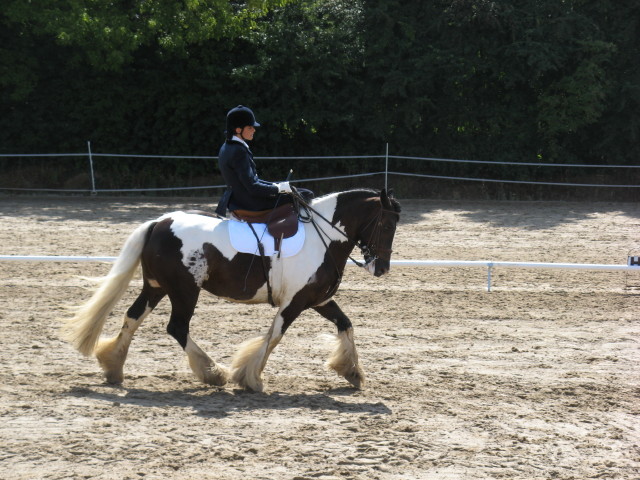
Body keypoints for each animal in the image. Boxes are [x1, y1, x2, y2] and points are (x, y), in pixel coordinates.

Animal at [63, 189, 400, 392]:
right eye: (387, 225)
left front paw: (352, 372)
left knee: (133, 317)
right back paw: (213, 373)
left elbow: (346, 324)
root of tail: (160, 221)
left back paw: (113, 367)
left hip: (156, 288)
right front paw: (250, 378)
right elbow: (274, 336)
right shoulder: (294, 302)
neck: (323, 238)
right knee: (177, 327)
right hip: (184, 291)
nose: (382, 268)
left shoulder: (319, 300)